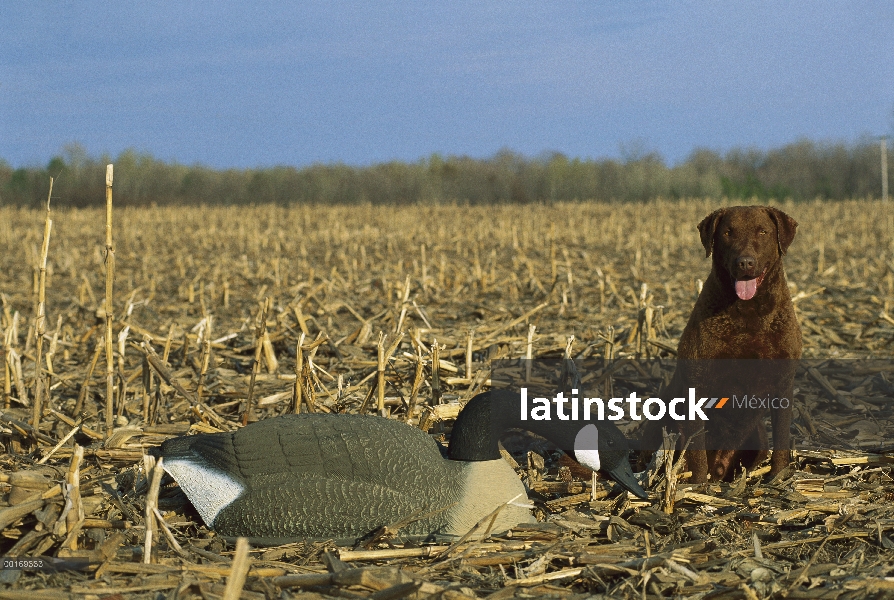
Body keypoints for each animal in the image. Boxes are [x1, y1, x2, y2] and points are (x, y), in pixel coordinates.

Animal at [644, 206, 804, 482]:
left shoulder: (784, 382)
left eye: (763, 231)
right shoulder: (697, 383)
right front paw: (697, 486)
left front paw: (778, 477)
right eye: (728, 232)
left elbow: (782, 436)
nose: (745, 262)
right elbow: (696, 449)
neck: (749, 315)